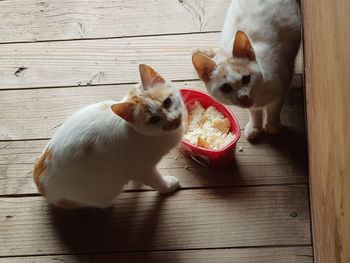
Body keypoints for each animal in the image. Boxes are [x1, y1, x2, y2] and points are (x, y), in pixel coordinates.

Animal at [33, 65, 185, 209]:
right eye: (154, 120)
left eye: (167, 102)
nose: (173, 120)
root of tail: (40, 184)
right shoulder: (143, 169)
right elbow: (157, 181)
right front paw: (169, 185)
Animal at [191, 0, 300, 140]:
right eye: (225, 88)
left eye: (246, 79)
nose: (243, 97)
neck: (260, 94)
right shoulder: (253, 104)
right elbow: (254, 112)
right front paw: (255, 126)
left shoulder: (282, 86)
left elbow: (274, 109)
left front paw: (273, 125)